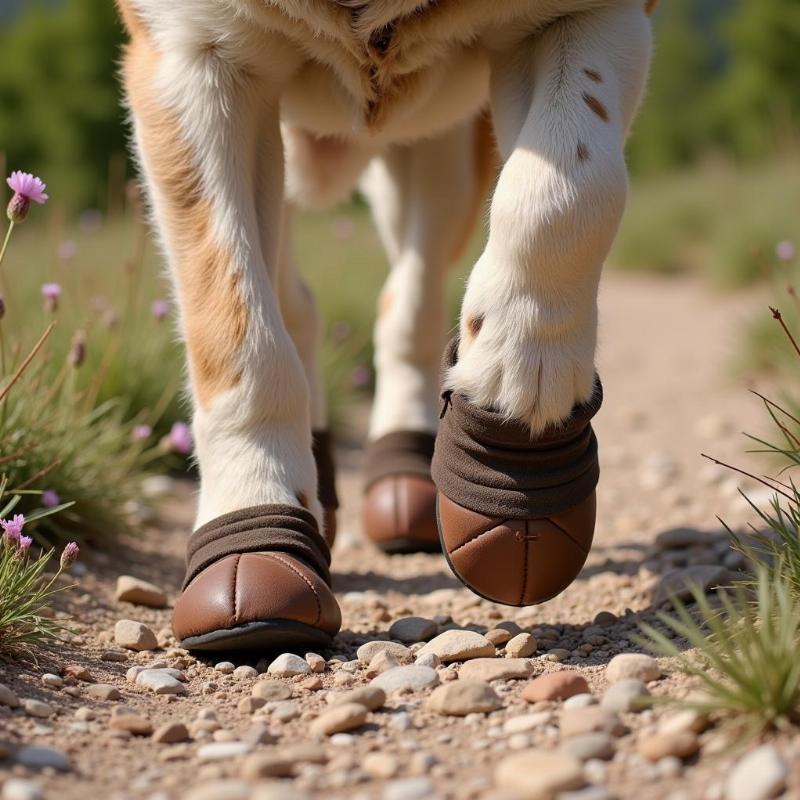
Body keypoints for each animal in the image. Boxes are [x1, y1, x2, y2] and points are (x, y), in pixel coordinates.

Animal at [115, 0, 652, 648]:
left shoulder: (594, 17)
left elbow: (568, 187)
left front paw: (519, 386)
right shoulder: (192, 55)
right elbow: (232, 312)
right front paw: (254, 502)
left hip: (441, 146)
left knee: (412, 293)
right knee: (291, 293)